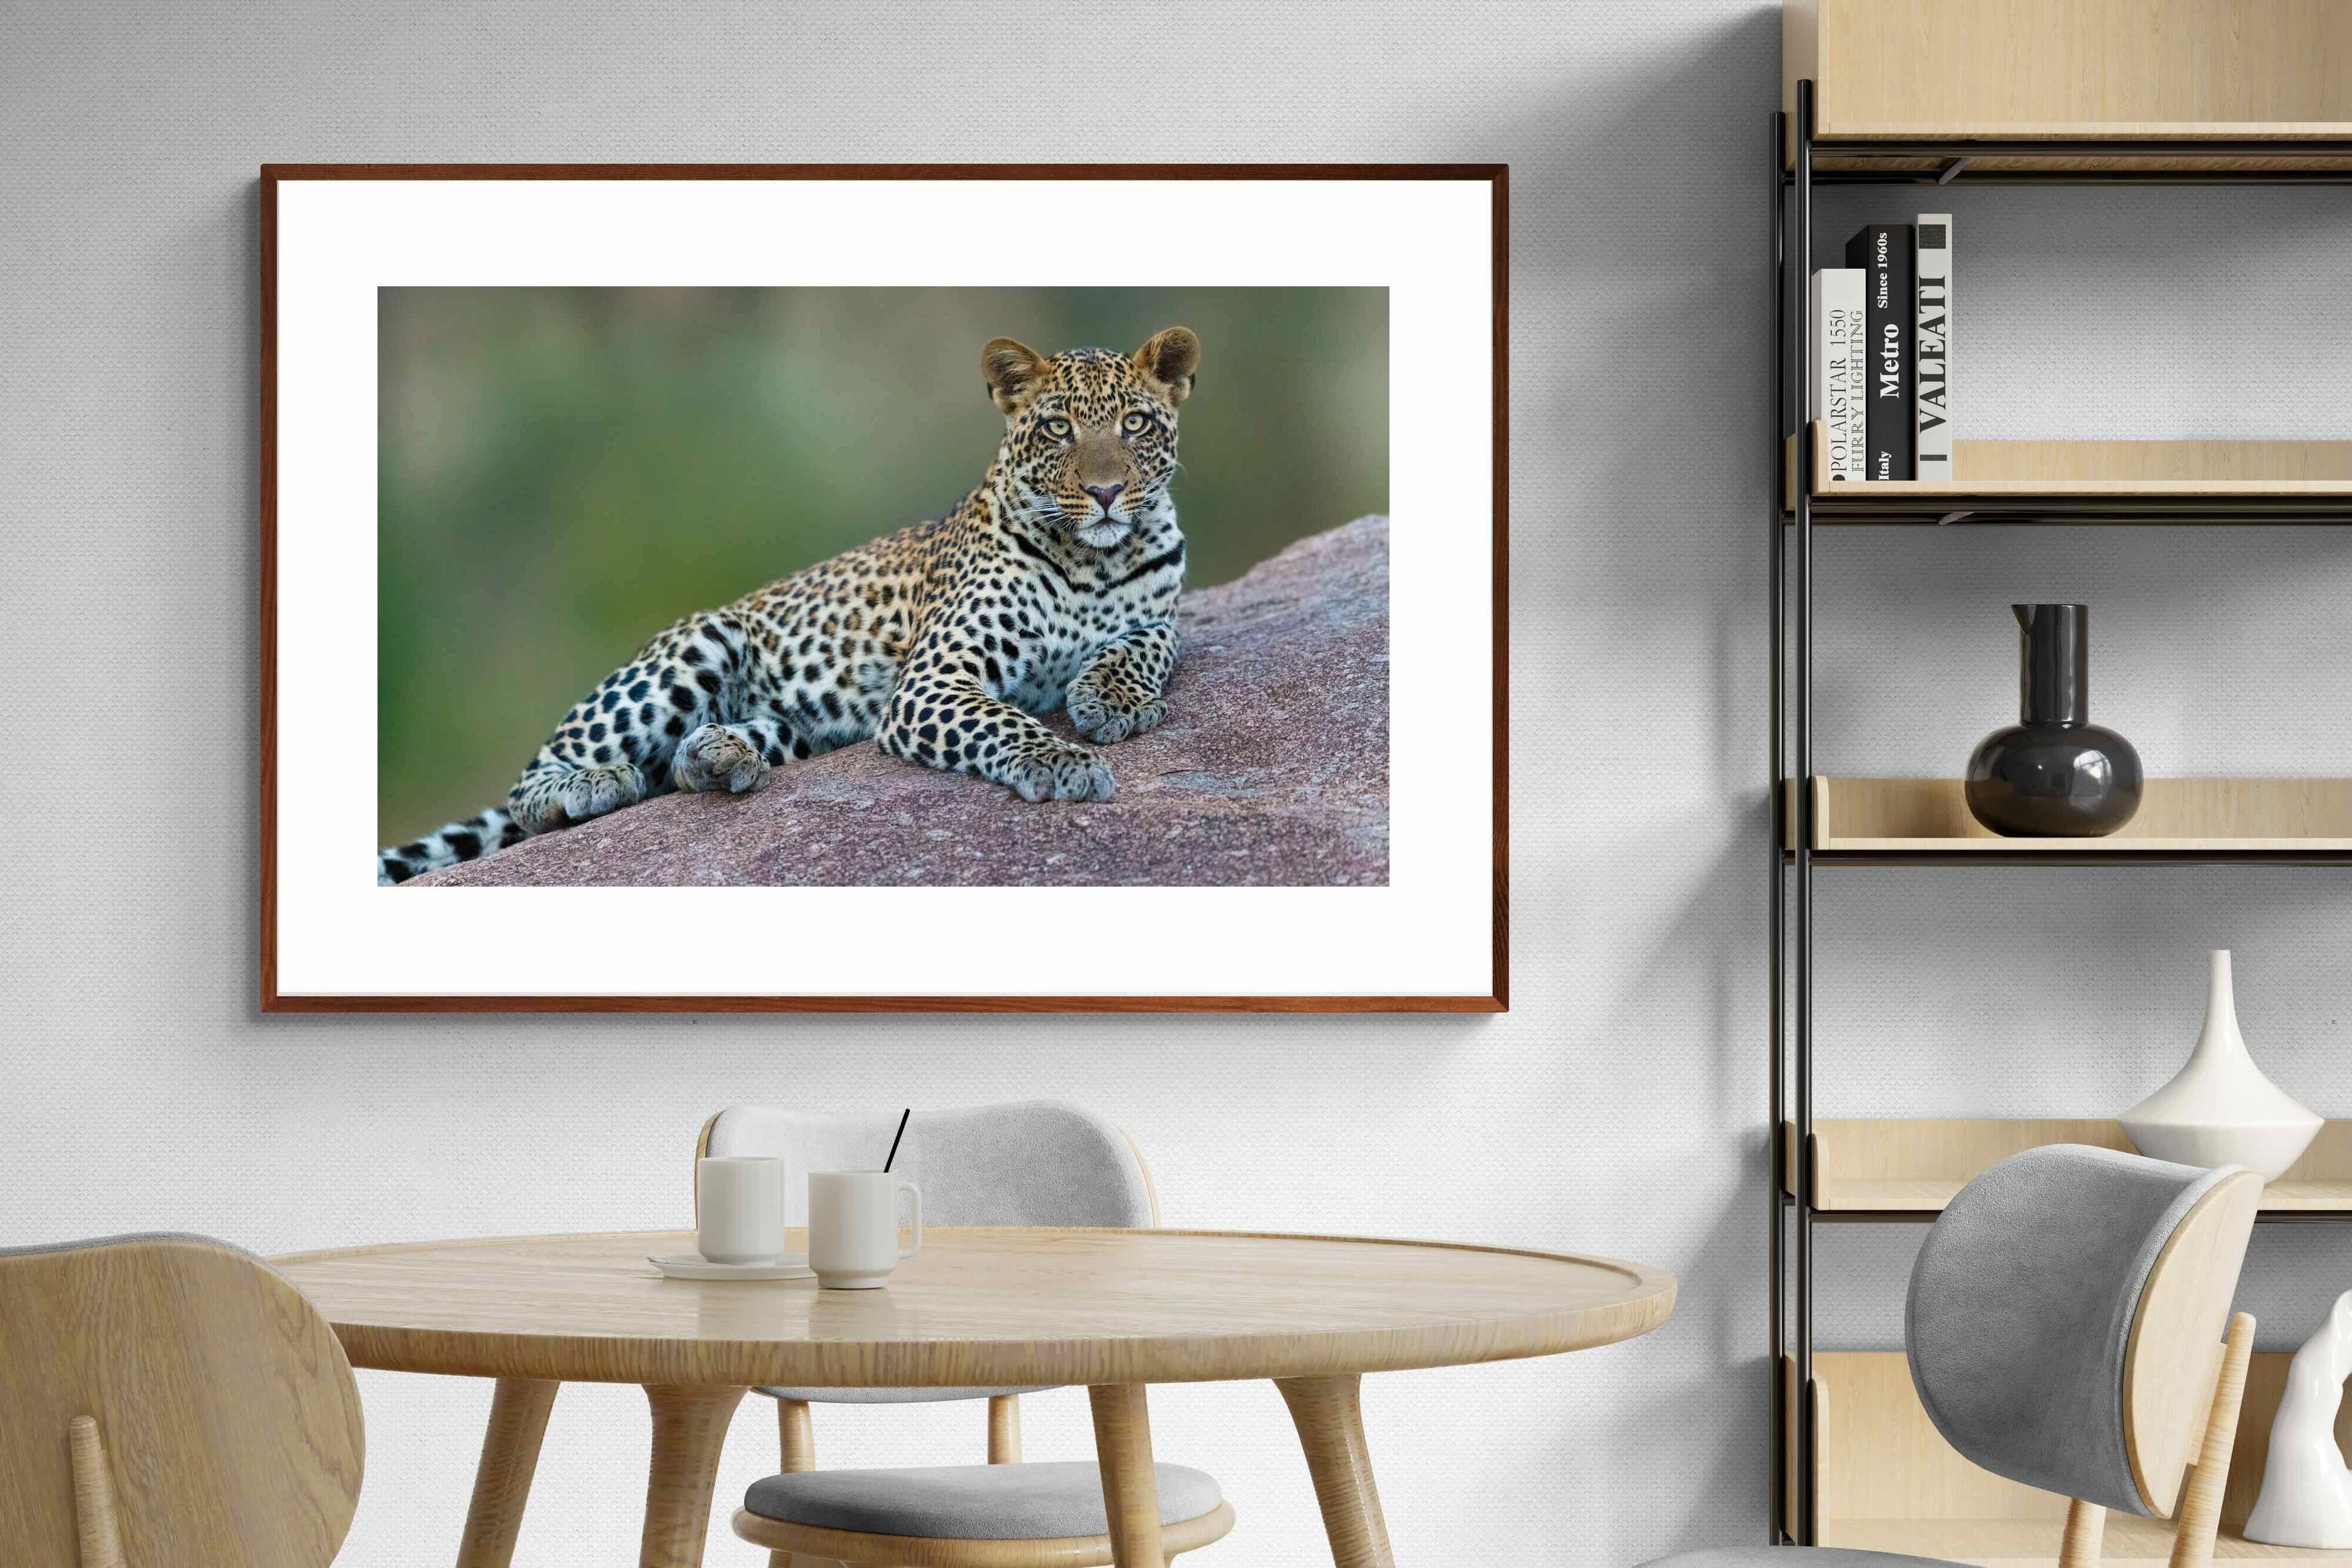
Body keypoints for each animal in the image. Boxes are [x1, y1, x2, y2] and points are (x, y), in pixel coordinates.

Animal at [377, 326, 1200, 885]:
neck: (1095, 557)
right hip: (693, 649)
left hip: (798, 727)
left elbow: (1146, 645)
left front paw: (1110, 700)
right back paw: (592, 783)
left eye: (1134, 424)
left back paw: (717, 757)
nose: (1106, 492)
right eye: (1058, 427)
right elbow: (1003, 721)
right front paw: (1065, 759)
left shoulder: (1160, 614)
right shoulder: (933, 681)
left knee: (696, 760)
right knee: (535, 780)